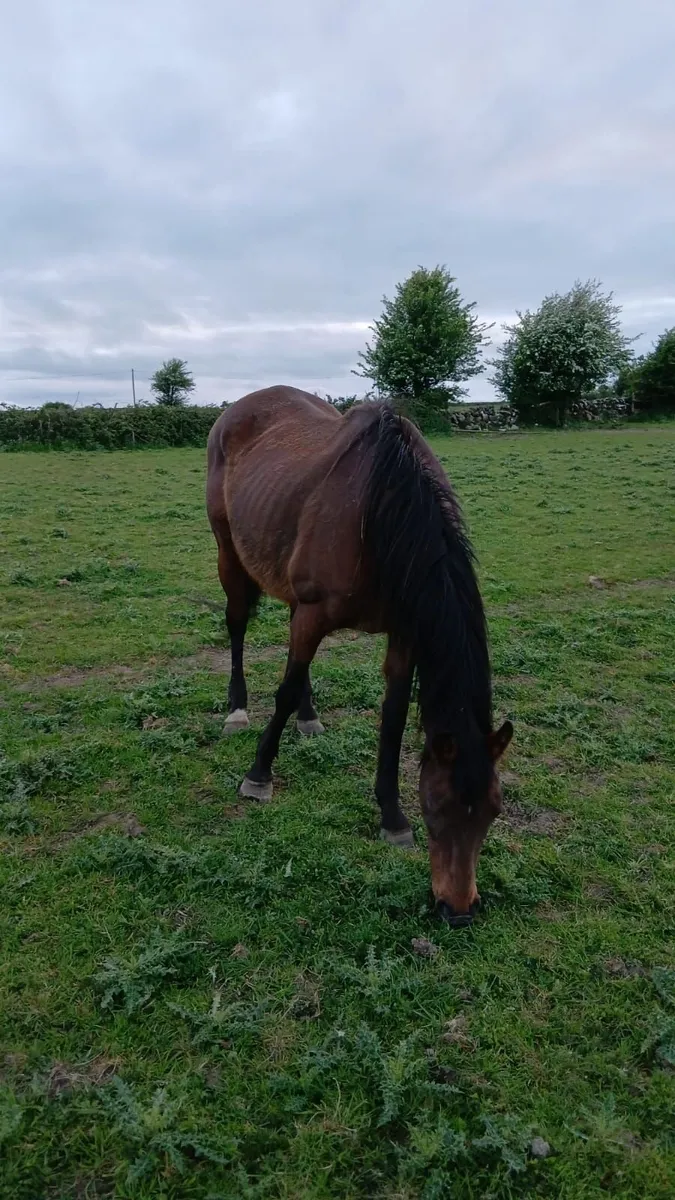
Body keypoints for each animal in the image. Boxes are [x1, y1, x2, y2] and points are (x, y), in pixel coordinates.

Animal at [206, 385, 513, 926]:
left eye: (494, 810)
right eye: (437, 808)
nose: (458, 911)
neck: (381, 513)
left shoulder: (405, 633)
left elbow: (391, 718)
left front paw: (391, 816)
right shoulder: (314, 613)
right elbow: (284, 689)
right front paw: (258, 775)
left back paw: (309, 717)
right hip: (229, 551)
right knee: (238, 625)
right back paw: (237, 709)